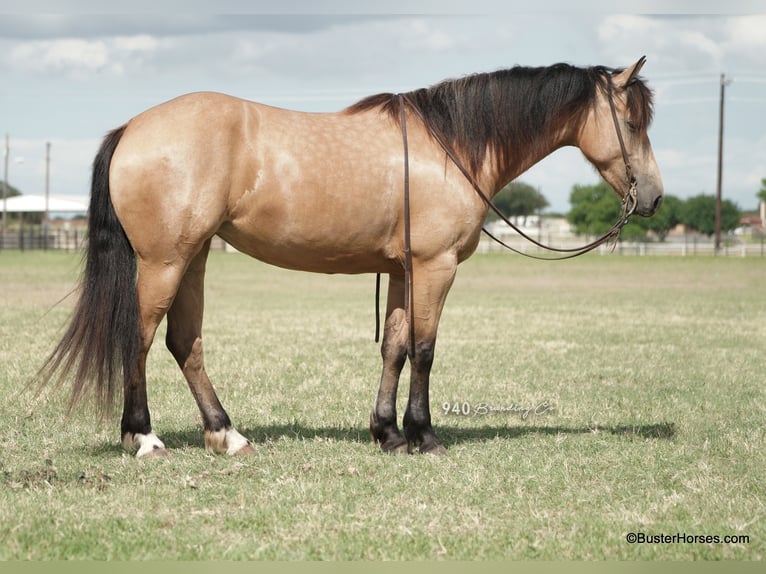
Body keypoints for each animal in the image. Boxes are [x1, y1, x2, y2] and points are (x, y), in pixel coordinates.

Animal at [40, 58, 664, 462]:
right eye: (633, 122)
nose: (654, 197)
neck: (452, 148)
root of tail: (132, 128)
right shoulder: (436, 266)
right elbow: (425, 349)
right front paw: (424, 437)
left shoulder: (403, 270)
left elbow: (395, 348)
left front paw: (387, 433)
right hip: (164, 262)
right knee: (140, 339)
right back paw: (143, 438)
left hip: (192, 260)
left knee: (183, 343)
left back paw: (225, 434)